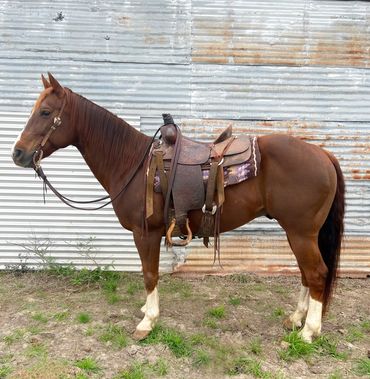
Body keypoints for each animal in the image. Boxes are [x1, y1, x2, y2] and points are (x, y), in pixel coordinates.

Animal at [12, 72, 346, 342]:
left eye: (45, 112)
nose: (18, 153)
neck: (133, 164)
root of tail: (323, 154)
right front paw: (147, 310)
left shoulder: (145, 234)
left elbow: (149, 274)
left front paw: (148, 322)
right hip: (301, 234)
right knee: (306, 274)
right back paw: (296, 319)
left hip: (300, 233)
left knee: (316, 273)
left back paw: (308, 331)